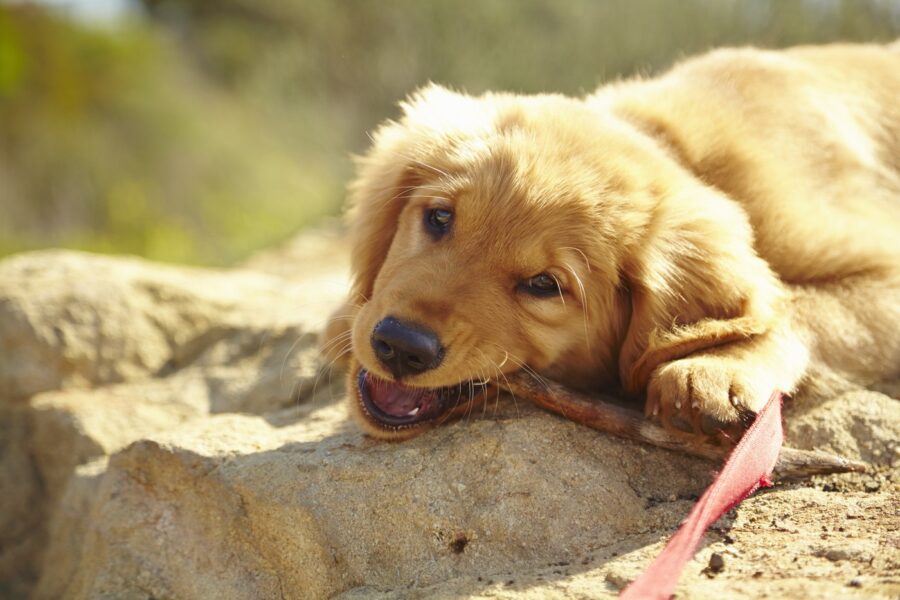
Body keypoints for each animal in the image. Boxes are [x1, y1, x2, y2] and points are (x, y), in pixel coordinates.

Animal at [326, 38, 900, 440]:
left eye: (544, 285)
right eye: (440, 218)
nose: (402, 347)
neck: (681, 148)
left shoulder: (881, 268)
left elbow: (797, 304)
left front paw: (716, 366)